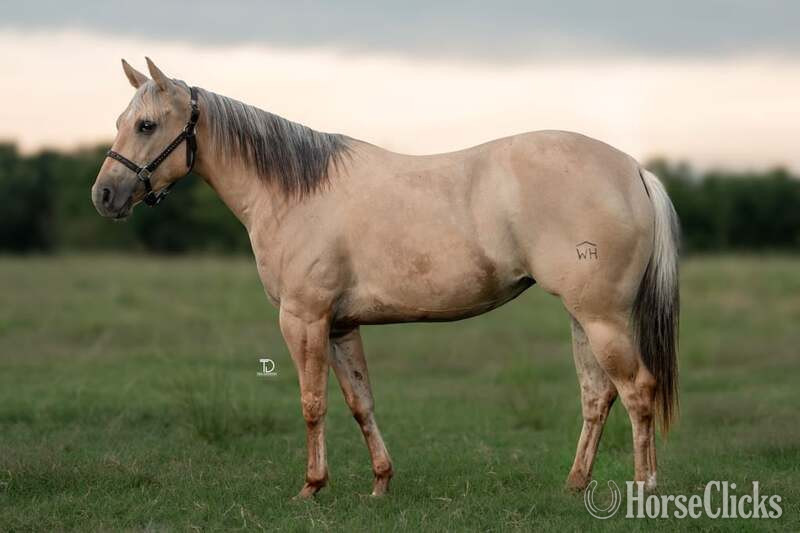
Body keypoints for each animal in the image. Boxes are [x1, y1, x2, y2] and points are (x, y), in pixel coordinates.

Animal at [92, 58, 680, 499]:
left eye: (146, 125)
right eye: (121, 120)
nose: (104, 195)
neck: (293, 192)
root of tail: (632, 169)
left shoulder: (303, 318)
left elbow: (312, 403)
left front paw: (311, 486)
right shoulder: (339, 325)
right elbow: (360, 402)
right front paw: (380, 483)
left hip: (602, 318)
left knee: (638, 391)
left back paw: (645, 488)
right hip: (583, 316)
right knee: (597, 396)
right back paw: (575, 485)